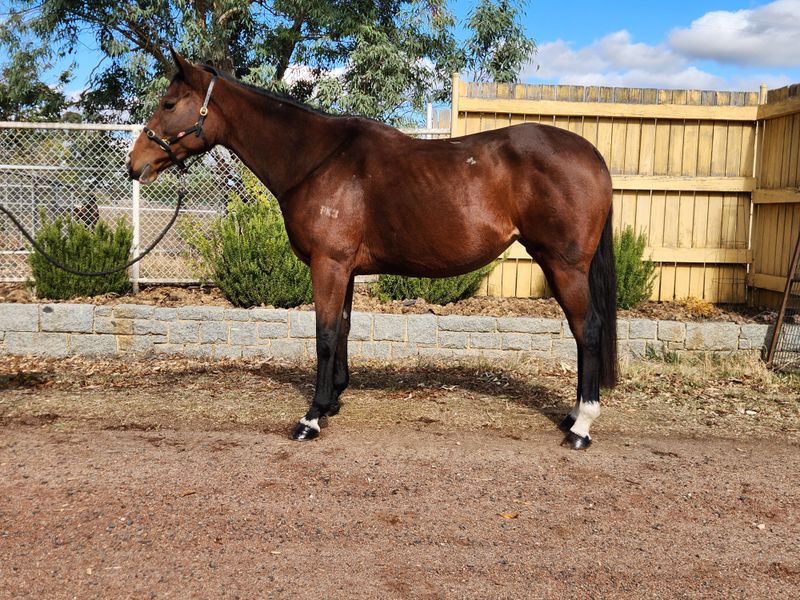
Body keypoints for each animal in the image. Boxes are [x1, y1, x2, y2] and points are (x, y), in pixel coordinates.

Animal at [127, 50, 617, 450]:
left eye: (169, 104)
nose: (135, 164)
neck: (318, 159)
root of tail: (592, 154)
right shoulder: (344, 268)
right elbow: (342, 330)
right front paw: (332, 401)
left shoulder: (328, 264)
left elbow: (324, 336)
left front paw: (310, 418)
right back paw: (572, 416)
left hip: (564, 265)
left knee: (587, 330)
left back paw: (581, 426)